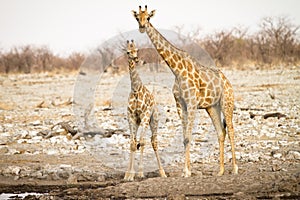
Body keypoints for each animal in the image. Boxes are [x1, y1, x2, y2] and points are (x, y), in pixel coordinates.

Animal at [124, 39, 166, 180]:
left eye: (137, 50)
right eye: (128, 52)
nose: (136, 59)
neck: (136, 89)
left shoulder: (145, 116)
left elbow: (142, 142)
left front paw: (140, 173)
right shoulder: (131, 117)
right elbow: (133, 143)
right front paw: (129, 174)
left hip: (153, 121)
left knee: (153, 141)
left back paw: (162, 172)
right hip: (138, 122)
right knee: (135, 141)